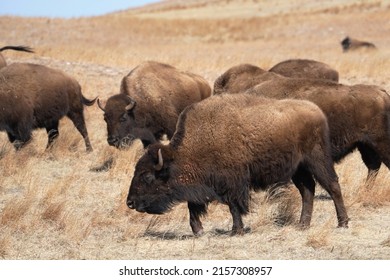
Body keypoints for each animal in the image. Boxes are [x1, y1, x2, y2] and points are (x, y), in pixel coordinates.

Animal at [126, 94, 348, 236]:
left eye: (147, 176)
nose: (130, 202)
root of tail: (316, 111)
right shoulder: (199, 186)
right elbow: (193, 207)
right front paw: (199, 231)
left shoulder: (233, 184)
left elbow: (233, 207)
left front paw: (236, 231)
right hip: (298, 170)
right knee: (307, 191)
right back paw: (303, 225)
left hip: (317, 161)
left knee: (332, 186)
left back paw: (343, 223)